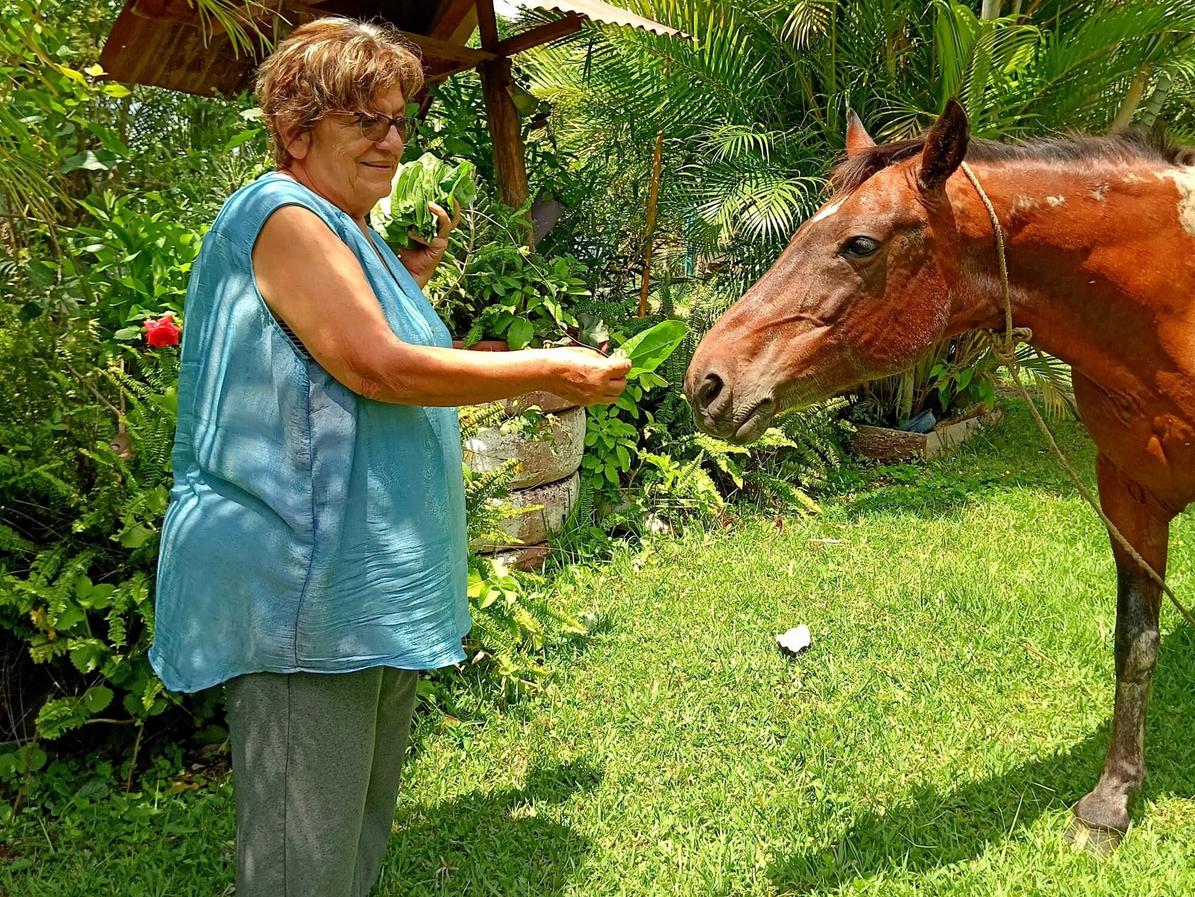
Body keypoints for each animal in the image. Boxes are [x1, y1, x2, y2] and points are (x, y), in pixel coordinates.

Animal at [684, 99, 1195, 852]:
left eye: (859, 244)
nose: (707, 380)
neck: (1172, 307)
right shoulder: (1128, 494)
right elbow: (1134, 644)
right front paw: (1109, 801)